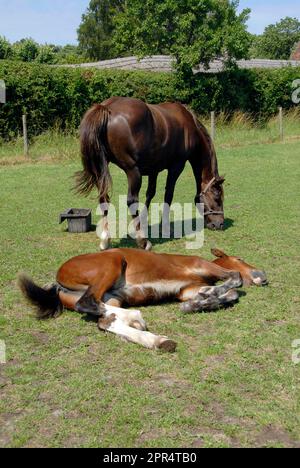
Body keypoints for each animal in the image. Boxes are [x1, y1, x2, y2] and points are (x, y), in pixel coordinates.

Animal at [19, 249, 268, 352]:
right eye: (239, 258)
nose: (263, 275)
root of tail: (57, 281)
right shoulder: (200, 265)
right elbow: (235, 281)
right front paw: (203, 300)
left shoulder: (187, 289)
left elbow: (228, 293)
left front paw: (199, 302)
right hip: (112, 262)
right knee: (88, 303)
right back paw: (137, 318)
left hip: (112, 296)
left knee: (105, 319)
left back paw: (158, 341)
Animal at [75, 97, 225, 250]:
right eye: (217, 197)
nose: (219, 224)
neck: (189, 126)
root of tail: (107, 108)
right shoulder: (176, 167)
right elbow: (168, 195)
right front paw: (165, 227)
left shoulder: (154, 169)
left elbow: (150, 193)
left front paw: (142, 221)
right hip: (133, 171)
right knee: (131, 201)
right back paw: (143, 241)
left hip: (100, 170)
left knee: (103, 198)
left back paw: (105, 239)